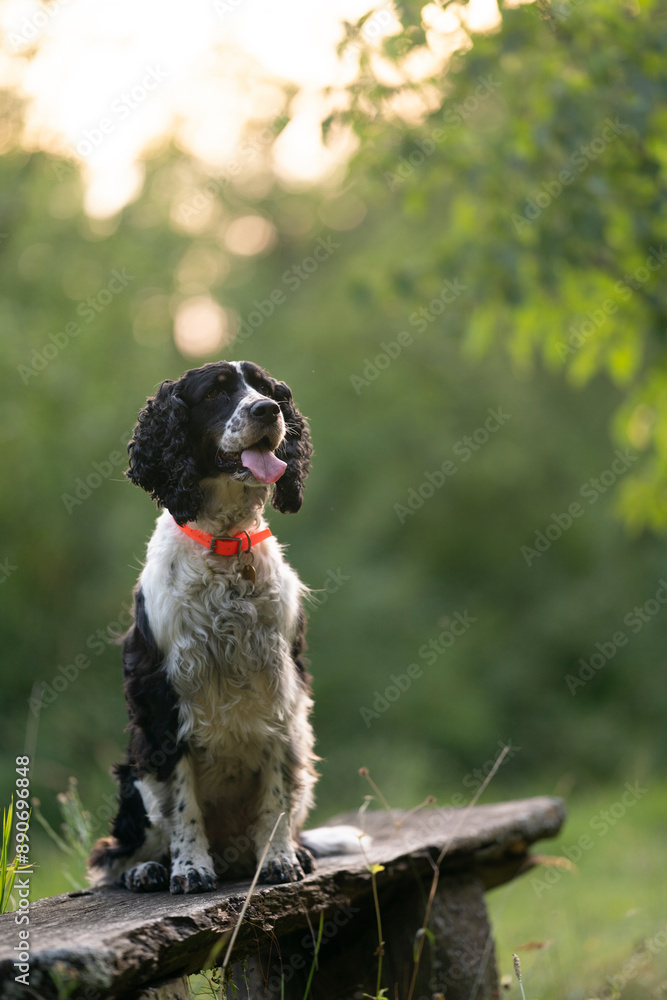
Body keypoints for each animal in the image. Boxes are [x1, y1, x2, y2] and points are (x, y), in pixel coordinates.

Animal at [89, 358, 362, 892]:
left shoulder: (282, 693)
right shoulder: (162, 695)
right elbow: (181, 801)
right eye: (215, 393)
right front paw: (190, 868)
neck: (227, 546)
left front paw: (279, 860)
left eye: (264, 387)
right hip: (135, 777)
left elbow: (275, 797)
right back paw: (149, 869)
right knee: (120, 854)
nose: (268, 409)